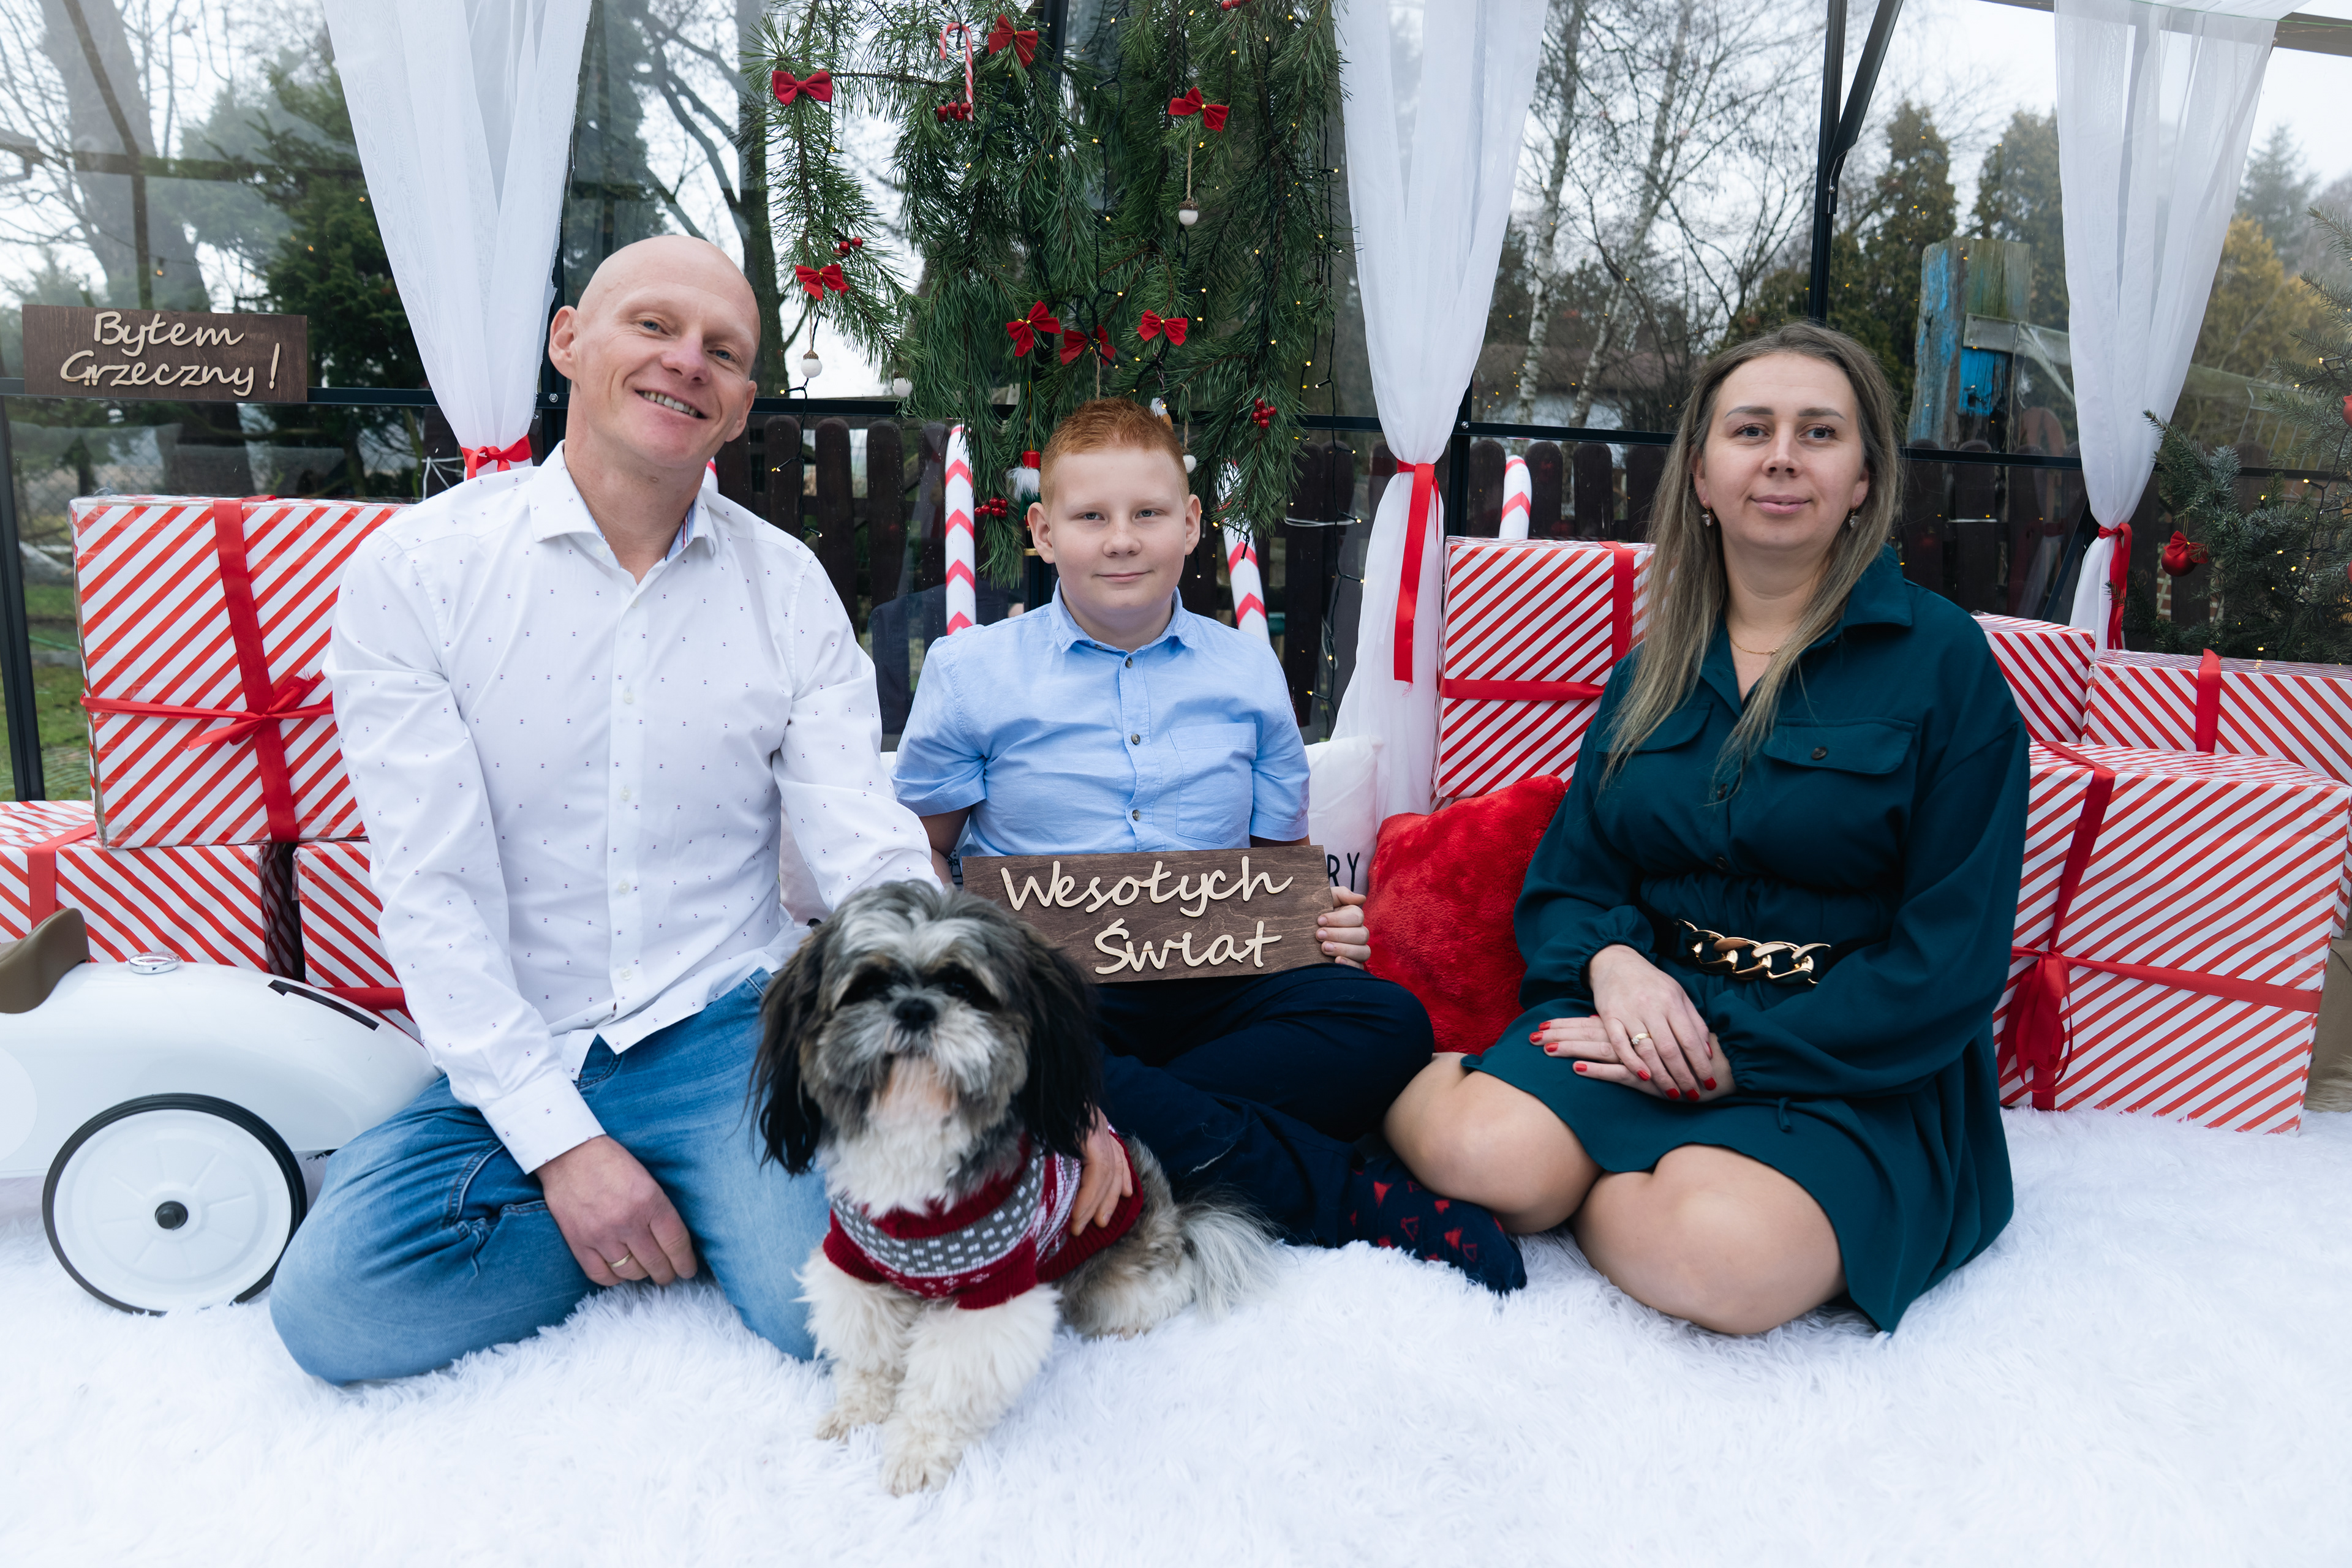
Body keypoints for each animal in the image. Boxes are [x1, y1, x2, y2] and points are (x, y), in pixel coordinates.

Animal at [754, 879, 1273, 1494]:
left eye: (963, 985)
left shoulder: (992, 1293)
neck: (914, 1140)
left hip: (1120, 1279)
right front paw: (856, 1415)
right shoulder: (859, 1266)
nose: (914, 1008)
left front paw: (913, 1454)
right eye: (868, 986)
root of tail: (1173, 1210)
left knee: (1169, 1289)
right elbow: (869, 1354)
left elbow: (943, 1387)